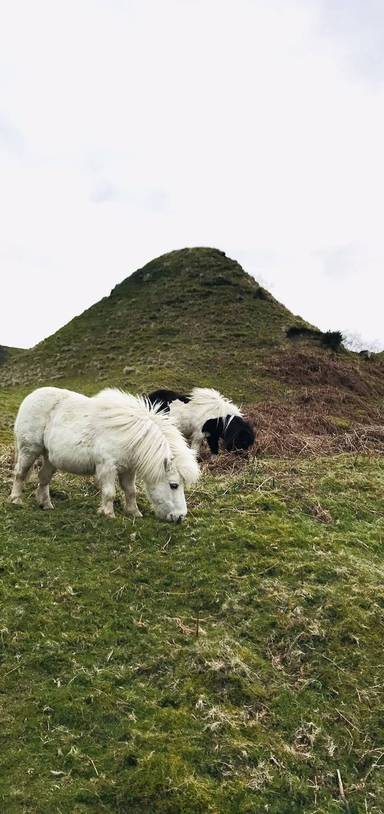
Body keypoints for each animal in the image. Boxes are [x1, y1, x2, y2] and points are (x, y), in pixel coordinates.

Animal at [10, 388, 200, 524]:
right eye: (174, 485)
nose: (180, 517)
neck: (130, 435)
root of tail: (31, 396)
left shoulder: (128, 470)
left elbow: (131, 491)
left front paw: (134, 512)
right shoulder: (107, 467)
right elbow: (110, 493)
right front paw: (108, 513)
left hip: (50, 457)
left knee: (44, 478)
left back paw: (46, 504)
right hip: (29, 450)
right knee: (20, 473)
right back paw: (16, 499)